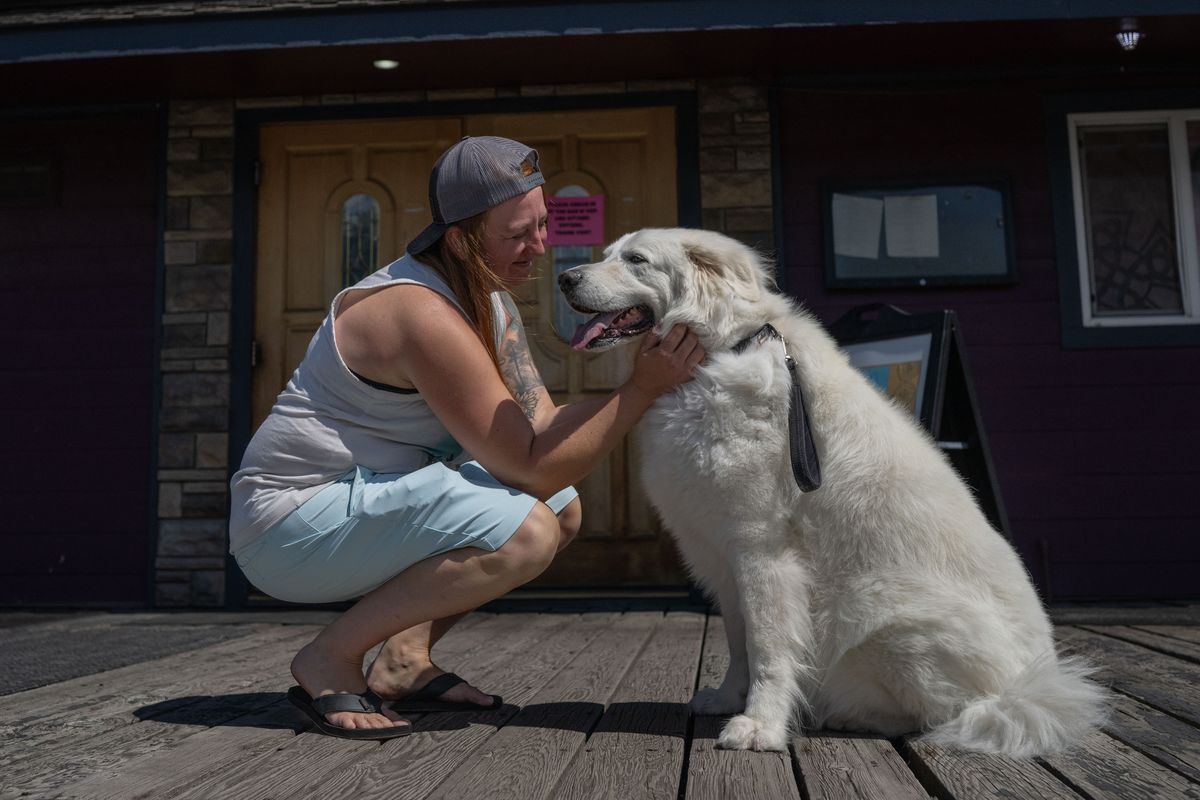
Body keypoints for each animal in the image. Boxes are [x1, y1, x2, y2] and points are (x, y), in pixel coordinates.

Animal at [556, 227, 1108, 753]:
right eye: (608, 253)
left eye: (636, 260)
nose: (564, 278)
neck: (718, 354)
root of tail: (1030, 686)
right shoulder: (722, 556)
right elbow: (737, 642)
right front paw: (728, 699)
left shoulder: (760, 549)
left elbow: (768, 647)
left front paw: (760, 726)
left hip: (880, 613)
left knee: (956, 716)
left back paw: (851, 715)